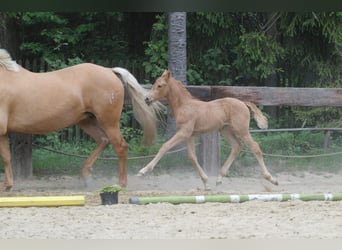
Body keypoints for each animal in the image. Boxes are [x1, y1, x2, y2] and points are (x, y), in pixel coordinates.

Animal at [139, 69, 278, 189]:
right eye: (154, 84)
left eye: (160, 85)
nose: (147, 99)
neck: (184, 105)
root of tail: (243, 103)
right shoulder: (189, 135)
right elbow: (192, 157)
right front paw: (206, 183)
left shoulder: (183, 133)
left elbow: (165, 146)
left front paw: (143, 171)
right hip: (226, 130)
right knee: (237, 146)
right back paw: (219, 178)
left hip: (242, 130)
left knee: (255, 147)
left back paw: (271, 178)